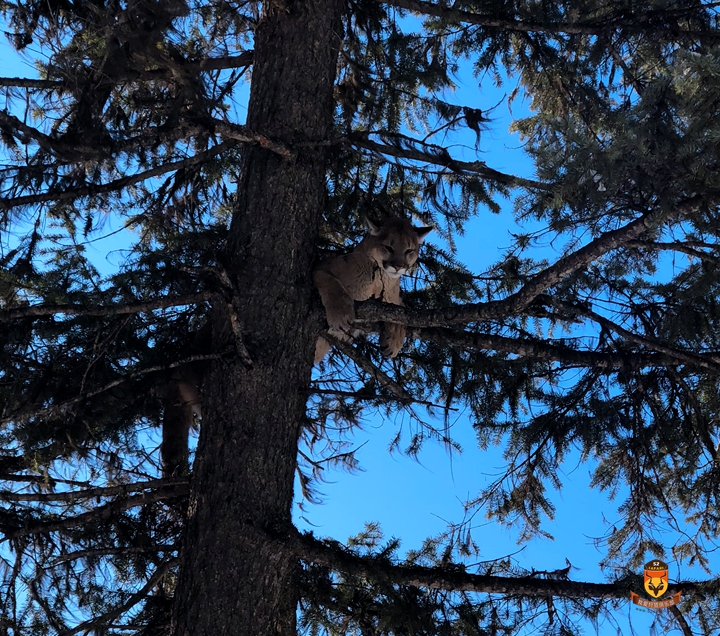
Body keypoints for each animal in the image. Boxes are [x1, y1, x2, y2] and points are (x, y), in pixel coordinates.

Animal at [314, 217, 428, 362]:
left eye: (409, 250)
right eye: (388, 247)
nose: (398, 267)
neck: (379, 281)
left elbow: (400, 312)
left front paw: (394, 341)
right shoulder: (319, 268)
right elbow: (329, 282)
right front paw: (340, 314)